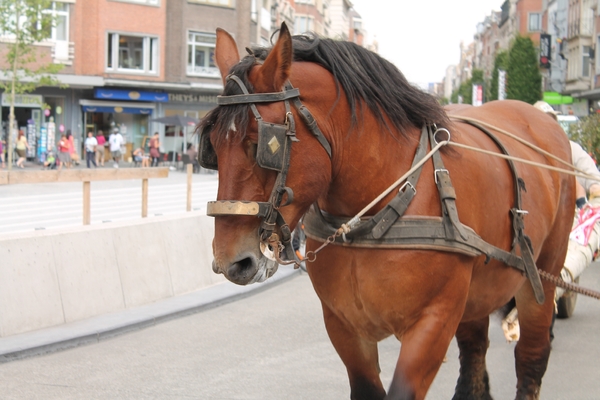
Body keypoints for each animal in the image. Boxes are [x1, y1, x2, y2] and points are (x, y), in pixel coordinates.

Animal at [202, 23, 576, 398]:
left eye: (259, 143)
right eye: (213, 148)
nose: (231, 261)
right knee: (474, 355)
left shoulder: (433, 323)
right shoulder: (344, 326)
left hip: (541, 277)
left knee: (531, 356)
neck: (372, 219)